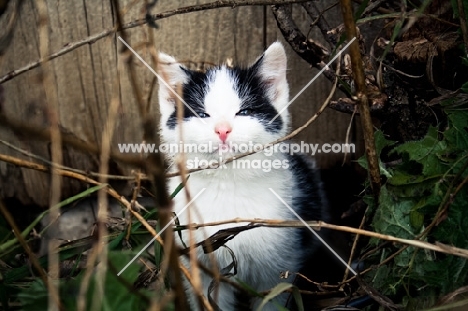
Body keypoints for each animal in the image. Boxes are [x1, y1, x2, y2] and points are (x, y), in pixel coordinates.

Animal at [157, 42, 326, 310]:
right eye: (202, 115)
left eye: (244, 111)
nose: (223, 130)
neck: (228, 183)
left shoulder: (280, 266)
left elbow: (271, 298)